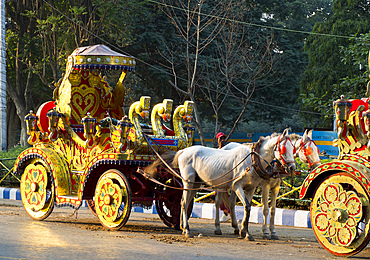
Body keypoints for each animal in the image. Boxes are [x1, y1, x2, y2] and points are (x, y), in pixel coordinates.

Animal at [164, 130, 294, 240]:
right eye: (283, 149)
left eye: (292, 149)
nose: (292, 167)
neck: (253, 160)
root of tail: (183, 151)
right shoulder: (237, 186)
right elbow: (247, 206)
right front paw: (247, 233)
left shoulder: (251, 188)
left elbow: (248, 207)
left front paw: (244, 232)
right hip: (188, 181)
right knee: (185, 202)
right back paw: (187, 230)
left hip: (196, 183)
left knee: (184, 201)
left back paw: (182, 226)